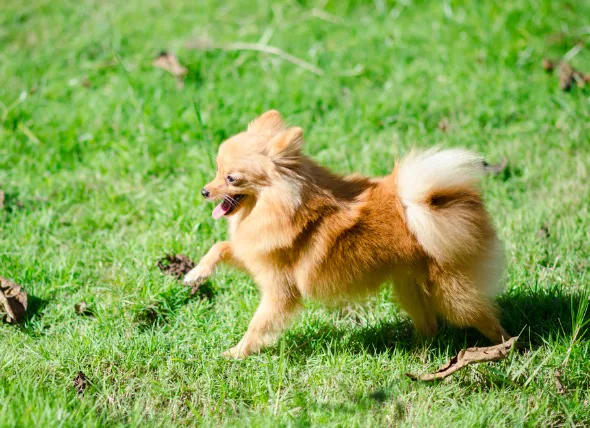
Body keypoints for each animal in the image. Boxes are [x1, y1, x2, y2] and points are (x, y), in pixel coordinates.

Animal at [187, 110, 512, 358]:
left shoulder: (280, 290)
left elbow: (258, 326)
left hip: (453, 293)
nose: (204, 191)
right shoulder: (254, 255)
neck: (279, 206)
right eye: (216, 171)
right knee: (429, 324)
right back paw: (419, 352)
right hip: (409, 285)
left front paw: (236, 353)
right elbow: (221, 246)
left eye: (231, 178)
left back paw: (506, 349)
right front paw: (195, 273)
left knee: (485, 318)